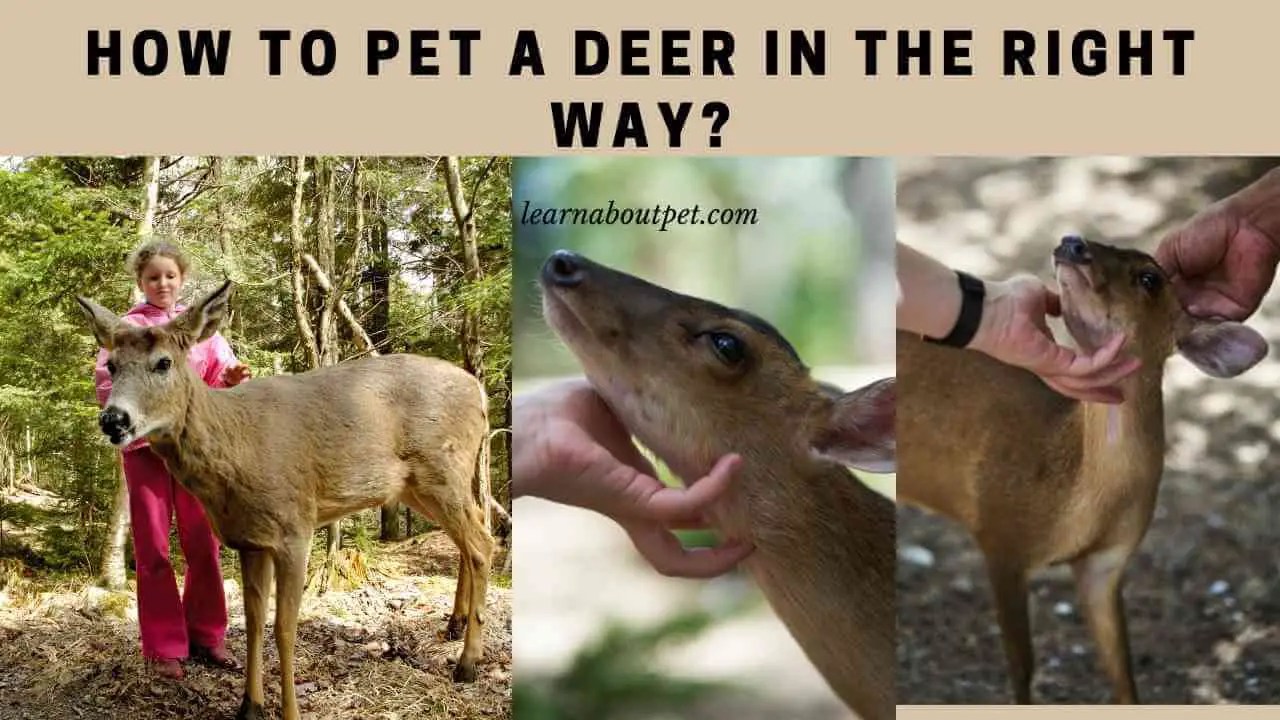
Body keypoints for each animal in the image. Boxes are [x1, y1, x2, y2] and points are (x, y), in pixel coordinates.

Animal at [75, 280, 495, 720]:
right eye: (111, 366)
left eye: (163, 363)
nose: (113, 419)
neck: (237, 446)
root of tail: (480, 392)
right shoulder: (251, 540)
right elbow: (254, 621)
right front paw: (250, 705)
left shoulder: (295, 527)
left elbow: (285, 627)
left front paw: (289, 710)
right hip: (422, 485)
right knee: (473, 533)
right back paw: (454, 625)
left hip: (442, 468)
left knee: (483, 543)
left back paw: (468, 662)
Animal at [896, 235, 1269, 704]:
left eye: (1150, 277)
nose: (1072, 242)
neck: (1078, 501)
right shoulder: (999, 536)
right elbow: (1023, 668)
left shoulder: (1107, 563)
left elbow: (1123, 674)